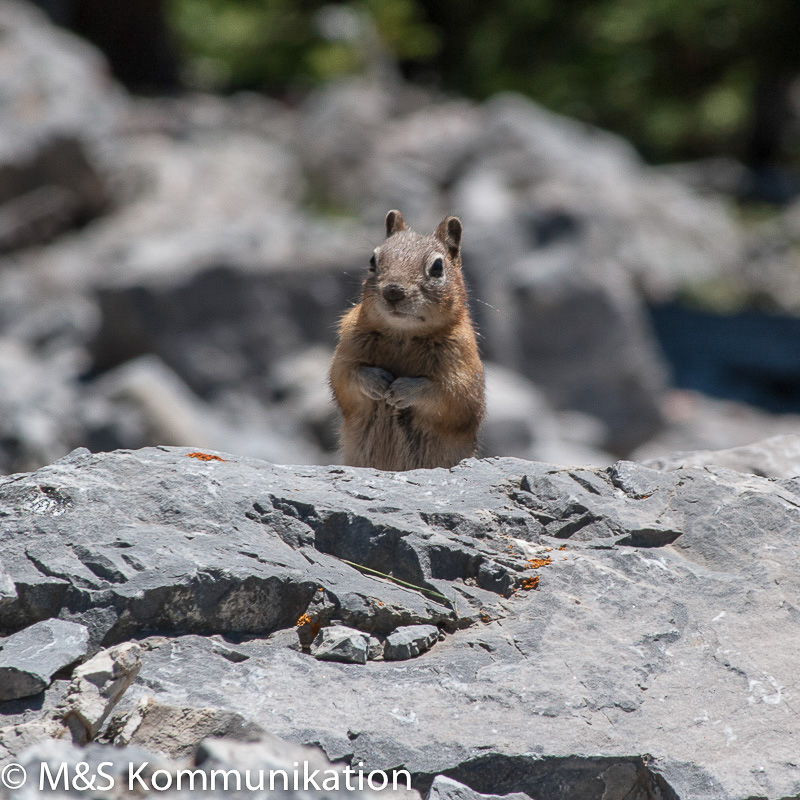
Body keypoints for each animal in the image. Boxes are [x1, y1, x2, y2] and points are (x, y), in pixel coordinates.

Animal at [328, 209, 484, 472]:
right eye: (372, 260)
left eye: (437, 266)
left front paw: (403, 389)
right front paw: (376, 381)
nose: (393, 291)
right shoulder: (346, 350)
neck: (403, 335)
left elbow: (449, 396)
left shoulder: (462, 366)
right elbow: (345, 376)